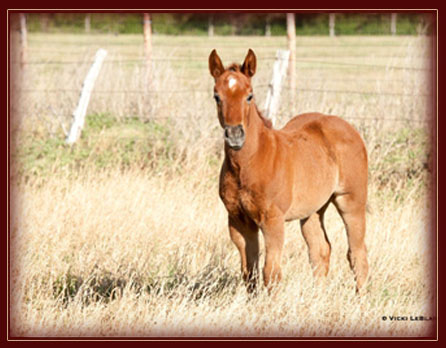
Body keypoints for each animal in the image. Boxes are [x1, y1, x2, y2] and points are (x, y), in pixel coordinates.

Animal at [209, 49, 370, 294]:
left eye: (249, 96)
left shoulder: (272, 221)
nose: (235, 135)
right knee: (320, 251)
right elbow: (249, 272)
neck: (249, 165)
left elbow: (271, 273)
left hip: (351, 201)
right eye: (217, 96)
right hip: (313, 209)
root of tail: (347, 127)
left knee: (357, 253)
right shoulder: (238, 221)